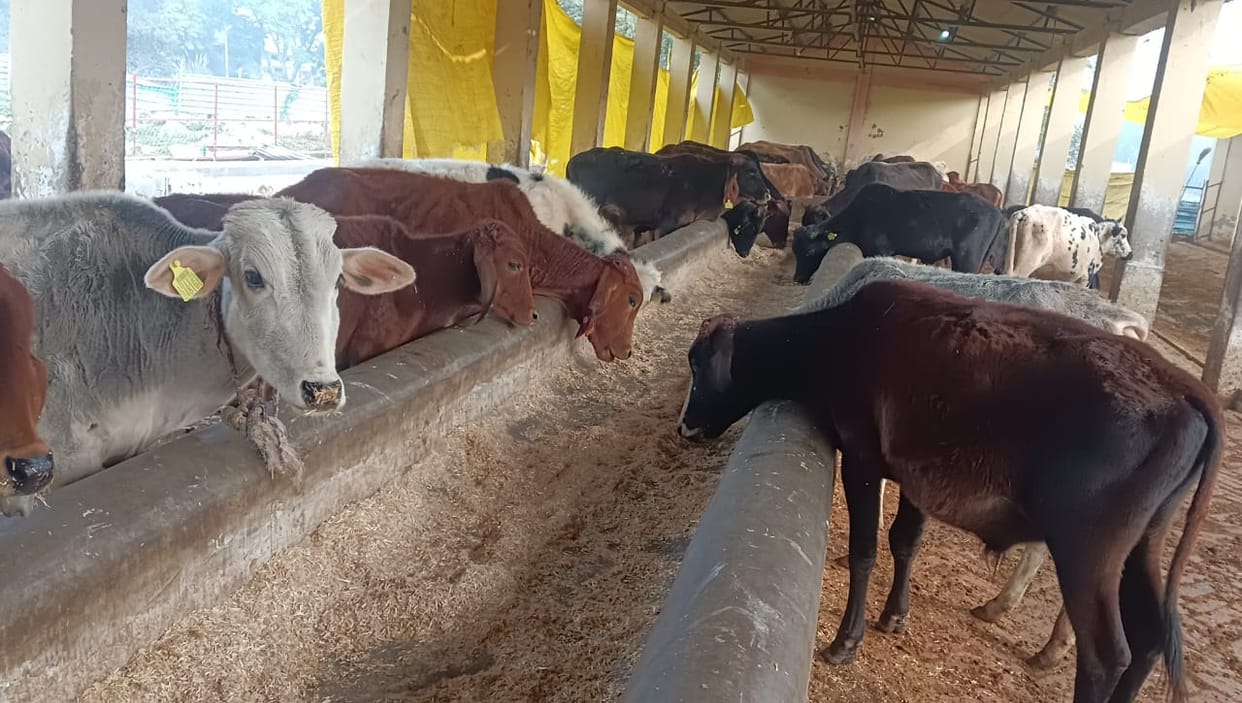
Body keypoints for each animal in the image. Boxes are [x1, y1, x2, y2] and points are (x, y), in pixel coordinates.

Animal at [678, 278, 1222, 703]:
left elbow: (865, 550)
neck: (843, 337)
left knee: (1107, 655)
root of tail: (1184, 386)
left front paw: (846, 641)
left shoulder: (862, 455)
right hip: (1142, 545)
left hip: (1089, 548)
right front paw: (895, 616)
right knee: (1149, 639)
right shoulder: (917, 475)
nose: (685, 428)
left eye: (700, 366)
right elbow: (905, 541)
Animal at [791, 183, 1008, 284]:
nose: (798, 278)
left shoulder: (878, 250)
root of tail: (998, 212)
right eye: (795, 251)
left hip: (967, 259)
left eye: (809, 252)